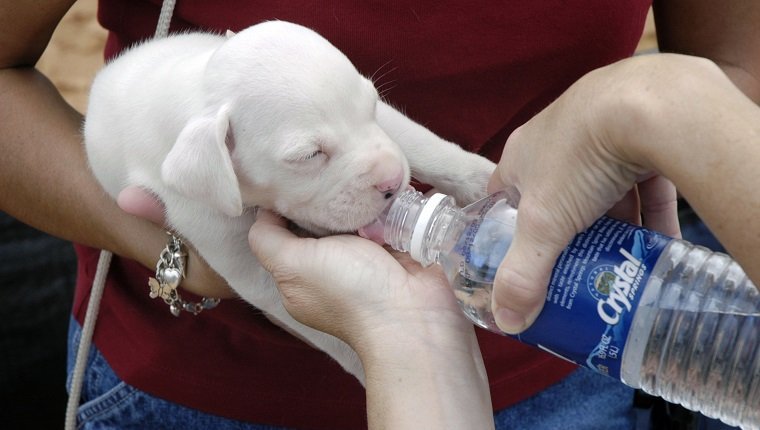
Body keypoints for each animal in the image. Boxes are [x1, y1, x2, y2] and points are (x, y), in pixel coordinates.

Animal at [86, 21, 496, 382]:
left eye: (372, 107)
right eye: (309, 156)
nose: (393, 180)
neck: (197, 95)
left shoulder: (390, 126)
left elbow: (418, 140)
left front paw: (482, 180)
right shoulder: (241, 260)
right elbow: (331, 334)